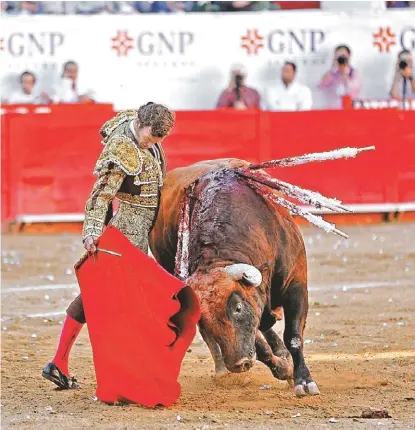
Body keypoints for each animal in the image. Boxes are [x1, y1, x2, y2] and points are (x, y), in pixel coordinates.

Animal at [150, 159, 322, 396]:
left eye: (238, 308)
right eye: (202, 318)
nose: (238, 364)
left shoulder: (296, 284)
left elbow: (293, 336)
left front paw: (303, 381)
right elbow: (259, 345)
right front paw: (285, 370)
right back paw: (225, 371)